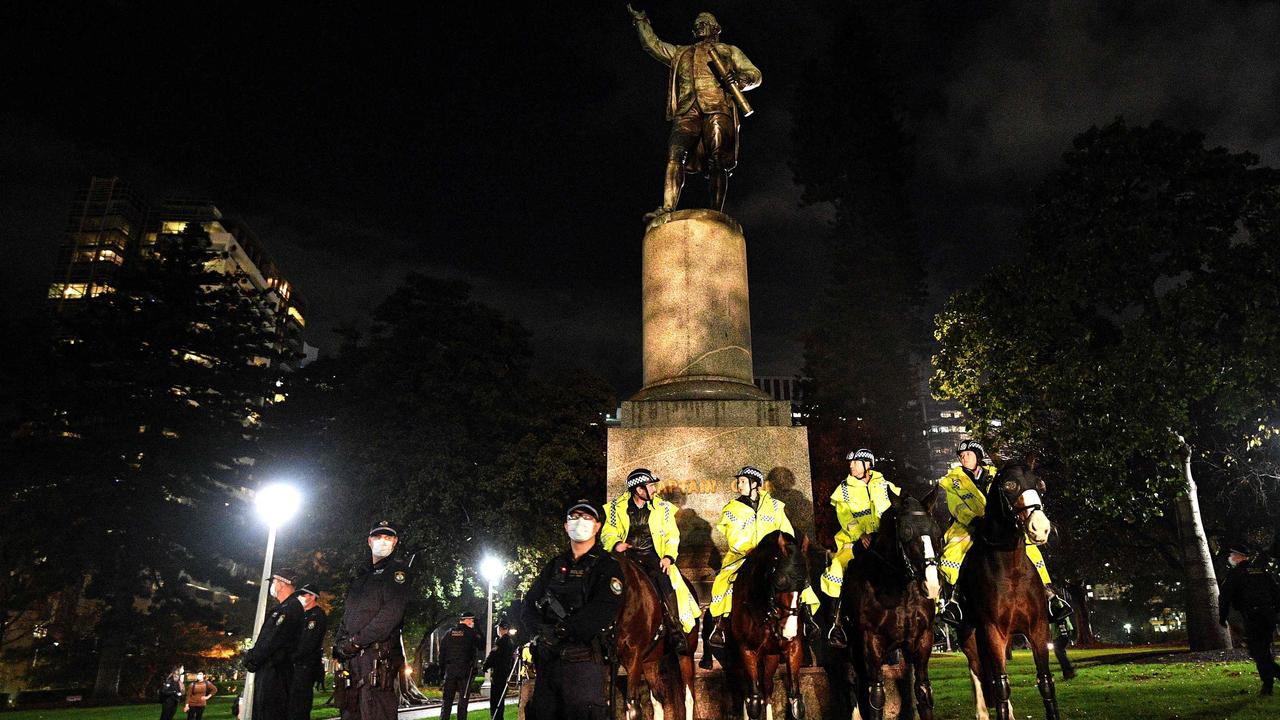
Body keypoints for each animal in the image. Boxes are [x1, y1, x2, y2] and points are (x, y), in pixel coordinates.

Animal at [611, 550, 701, 712]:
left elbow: (631, 703)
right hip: (650, 662)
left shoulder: (634, 657)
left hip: (686, 655)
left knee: (688, 697)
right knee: (658, 700)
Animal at [721, 527, 808, 717]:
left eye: (805, 585)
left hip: (770, 656)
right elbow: (753, 701)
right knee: (747, 692)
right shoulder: (747, 650)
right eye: (780, 581)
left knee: (767, 688)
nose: (788, 631)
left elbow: (796, 700)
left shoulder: (792, 647)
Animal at [844, 481, 947, 717]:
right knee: (853, 681)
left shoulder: (922, 640)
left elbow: (923, 690)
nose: (932, 584)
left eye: (937, 532)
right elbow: (876, 696)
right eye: (906, 532)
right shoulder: (871, 642)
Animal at [957, 458, 1064, 717]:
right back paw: (982, 712)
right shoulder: (993, 632)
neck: (1011, 570)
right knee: (977, 671)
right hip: (969, 638)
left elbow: (1046, 682)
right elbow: (1001, 685)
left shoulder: (1038, 629)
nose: (1040, 528)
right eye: (1009, 485)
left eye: (1041, 485)